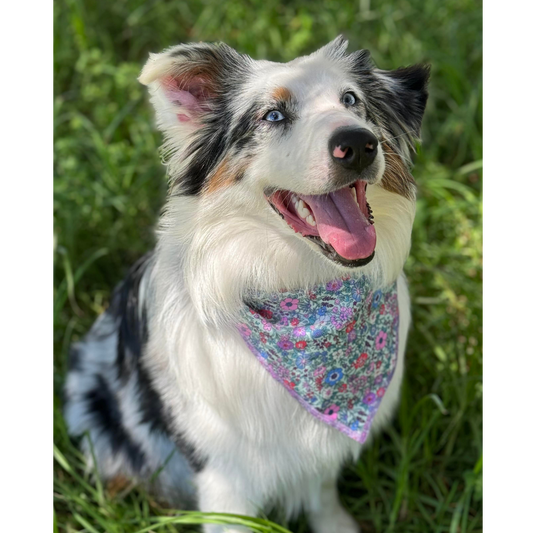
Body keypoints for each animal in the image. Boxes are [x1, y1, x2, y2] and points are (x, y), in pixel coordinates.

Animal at [64, 35, 428, 528]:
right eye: (272, 116)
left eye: (352, 101)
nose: (358, 144)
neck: (296, 287)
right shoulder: (223, 475)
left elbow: (322, 495)